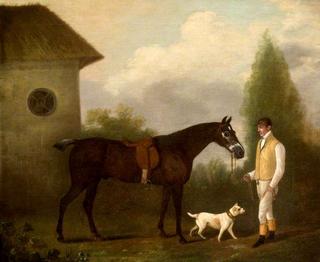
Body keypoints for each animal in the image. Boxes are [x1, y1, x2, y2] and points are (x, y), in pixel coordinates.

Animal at [55, 115, 245, 243]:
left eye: (233, 131)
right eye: (226, 133)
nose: (240, 152)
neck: (178, 148)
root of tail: (79, 142)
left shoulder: (167, 186)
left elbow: (163, 206)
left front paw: (163, 232)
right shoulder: (177, 186)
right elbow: (177, 209)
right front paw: (181, 238)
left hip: (93, 182)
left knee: (87, 205)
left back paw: (96, 235)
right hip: (80, 182)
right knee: (64, 202)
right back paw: (60, 236)